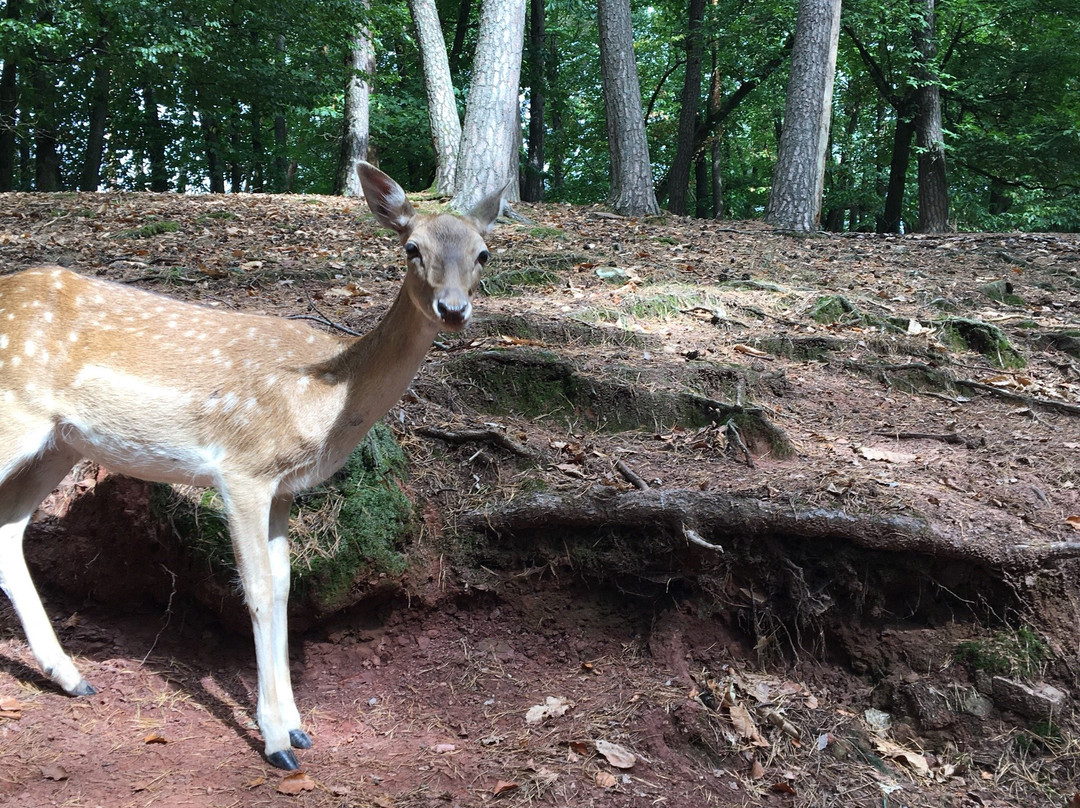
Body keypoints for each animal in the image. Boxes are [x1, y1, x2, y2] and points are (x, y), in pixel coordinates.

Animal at [0, 162, 501, 769]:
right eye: (411, 247)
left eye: (483, 252)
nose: (453, 309)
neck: (326, 399)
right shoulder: (242, 468)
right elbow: (258, 591)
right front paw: (277, 741)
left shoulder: (283, 488)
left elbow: (285, 588)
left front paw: (300, 727)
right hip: (16, 417)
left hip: (61, 443)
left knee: (7, 530)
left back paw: (70, 677)